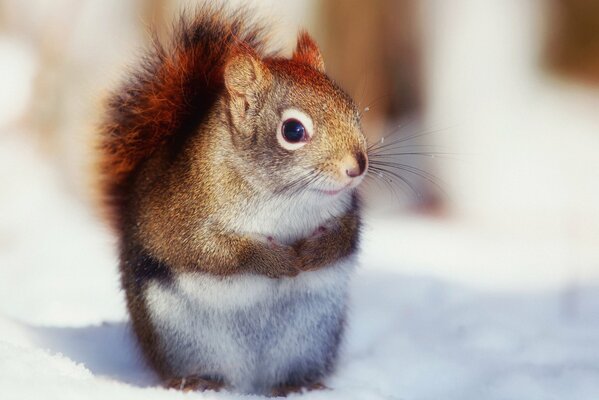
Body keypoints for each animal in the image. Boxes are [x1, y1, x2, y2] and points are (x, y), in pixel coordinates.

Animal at [96, 3, 368, 396]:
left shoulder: (346, 210)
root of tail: (247, 381)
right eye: (293, 131)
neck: (285, 198)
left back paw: (297, 386)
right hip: (185, 340)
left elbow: (346, 236)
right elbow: (212, 252)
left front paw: (314, 252)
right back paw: (199, 382)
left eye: (353, 110)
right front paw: (277, 260)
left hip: (309, 340)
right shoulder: (183, 216)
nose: (357, 166)